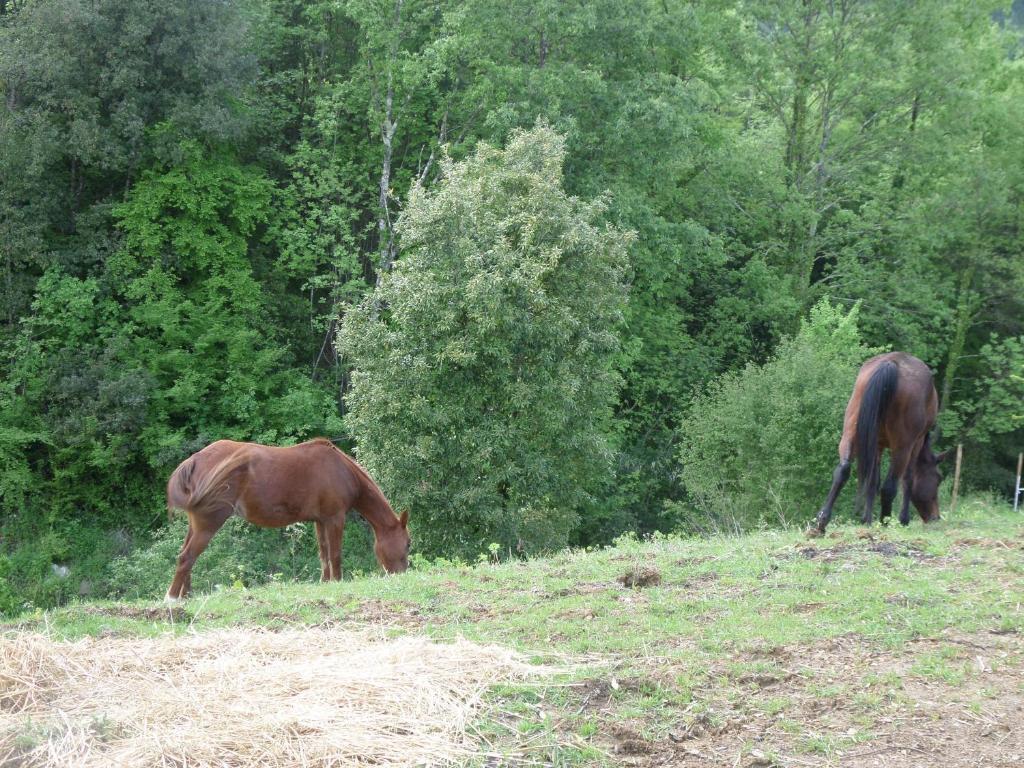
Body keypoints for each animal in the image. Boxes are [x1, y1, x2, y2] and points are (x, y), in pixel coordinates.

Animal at [165, 438, 409, 602]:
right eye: (408, 544)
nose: (403, 575)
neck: (340, 469)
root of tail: (195, 460)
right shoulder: (335, 519)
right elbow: (336, 555)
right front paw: (338, 583)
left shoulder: (320, 521)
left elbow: (324, 555)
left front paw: (325, 583)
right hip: (209, 523)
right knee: (187, 557)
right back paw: (172, 598)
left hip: (195, 525)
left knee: (185, 555)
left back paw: (185, 596)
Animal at [811, 350, 946, 536]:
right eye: (938, 479)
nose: (935, 517)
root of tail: (890, 363)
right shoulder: (915, 443)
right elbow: (907, 479)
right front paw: (903, 519)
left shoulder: (877, 445)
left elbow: (872, 481)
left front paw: (866, 520)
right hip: (902, 447)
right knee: (890, 486)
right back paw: (885, 521)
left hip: (850, 435)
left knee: (842, 471)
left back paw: (822, 521)